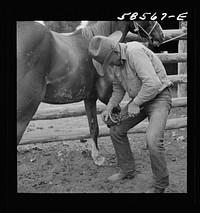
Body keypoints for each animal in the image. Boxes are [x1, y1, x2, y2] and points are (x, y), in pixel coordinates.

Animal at [16, 20, 164, 166]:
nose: (161, 35)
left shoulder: (89, 98)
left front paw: (96, 156)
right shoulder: (106, 96)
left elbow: (94, 127)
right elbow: (113, 116)